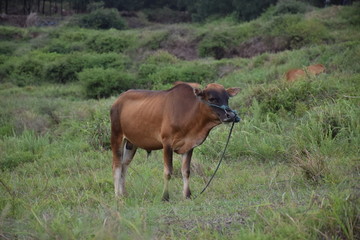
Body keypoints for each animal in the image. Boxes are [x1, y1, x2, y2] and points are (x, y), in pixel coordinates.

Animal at [109, 83, 239, 200]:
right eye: (212, 98)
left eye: (227, 98)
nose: (231, 115)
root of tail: (118, 100)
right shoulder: (167, 144)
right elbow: (168, 172)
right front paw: (165, 197)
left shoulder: (189, 146)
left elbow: (186, 171)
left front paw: (187, 195)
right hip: (117, 137)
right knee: (117, 166)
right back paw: (117, 196)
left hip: (131, 144)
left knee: (124, 165)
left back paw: (124, 193)